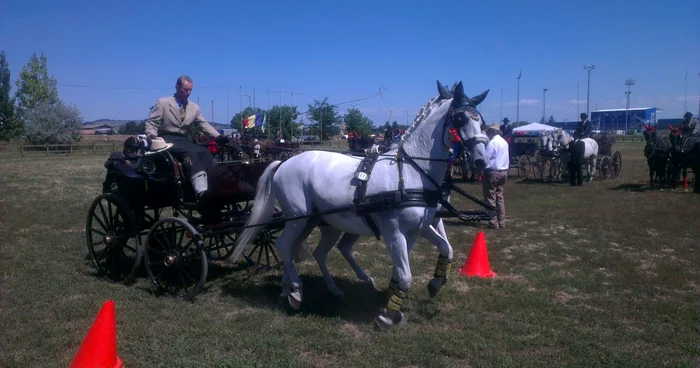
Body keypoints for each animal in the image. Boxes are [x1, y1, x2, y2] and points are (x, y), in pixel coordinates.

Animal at [230, 81, 486, 330]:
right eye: (460, 119)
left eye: (480, 120)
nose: (481, 160)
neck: (412, 173)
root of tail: (284, 162)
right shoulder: (394, 232)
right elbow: (405, 275)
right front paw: (388, 317)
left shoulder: (417, 229)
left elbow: (442, 250)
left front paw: (432, 285)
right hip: (298, 217)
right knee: (284, 245)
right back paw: (295, 292)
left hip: (321, 222)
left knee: (308, 251)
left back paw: (303, 289)